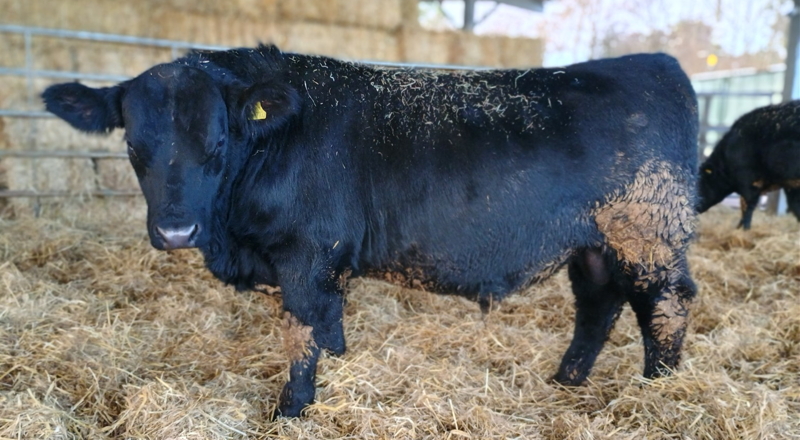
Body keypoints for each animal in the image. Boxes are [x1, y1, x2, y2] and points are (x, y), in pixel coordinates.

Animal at [42, 45, 699, 418]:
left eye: (219, 141)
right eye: (134, 145)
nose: (177, 230)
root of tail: (655, 62)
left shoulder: (305, 255)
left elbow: (301, 330)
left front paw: (291, 410)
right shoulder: (325, 261)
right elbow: (329, 322)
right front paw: (339, 362)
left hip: (648, 233)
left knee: (665, 303)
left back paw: (659, 391)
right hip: (595, 243)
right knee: (598, 303)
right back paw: (565, 382)